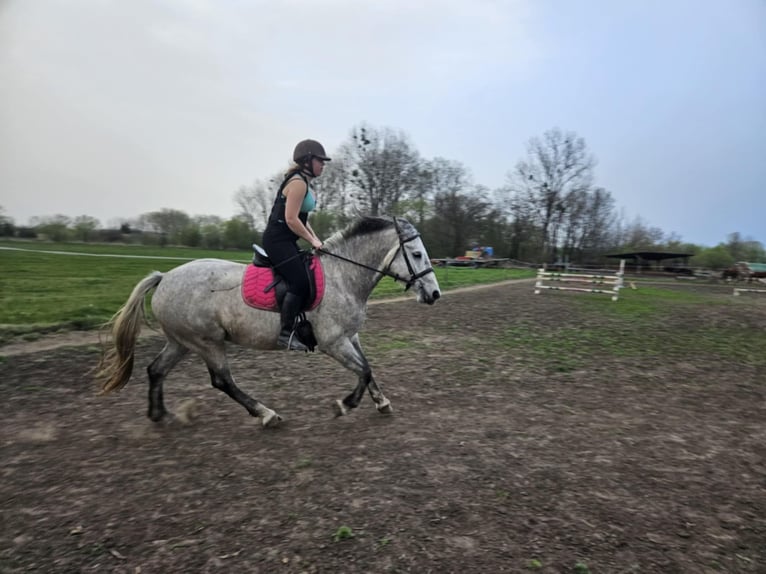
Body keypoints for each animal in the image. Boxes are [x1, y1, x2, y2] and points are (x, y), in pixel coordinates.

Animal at [96, 218, 444, 430]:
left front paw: (381, 402)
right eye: (416, 254)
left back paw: (159, 415)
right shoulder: (333, 342)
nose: (434, 294)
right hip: (207, 342)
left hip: (181, 341)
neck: (342, 276)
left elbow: (368, 367)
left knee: (156, 370)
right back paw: (266, 414)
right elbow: (363, 369)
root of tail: (165, 277)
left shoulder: (350, 336)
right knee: (222, 381)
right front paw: (345, 405)